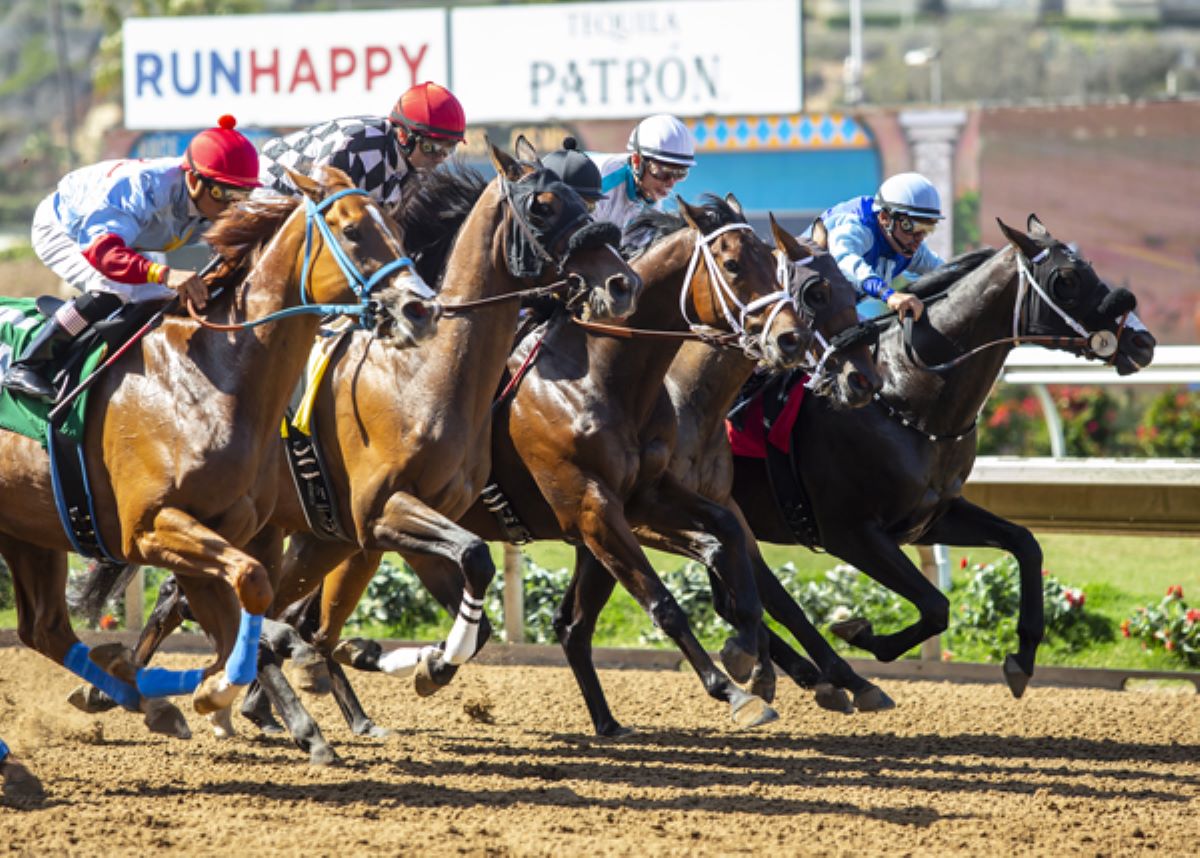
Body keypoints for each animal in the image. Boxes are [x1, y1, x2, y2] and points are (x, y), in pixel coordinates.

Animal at [0, 169, 439, 739]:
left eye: (399, 232)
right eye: (353, 231)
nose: (421, 310)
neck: (211, 375)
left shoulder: (219, 530)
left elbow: (238, 611)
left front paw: (221, 693)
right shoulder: (150, 527)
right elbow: (250, 591)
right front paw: (234, 693)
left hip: (29, 529)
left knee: (45, 629)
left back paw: (148, 702)